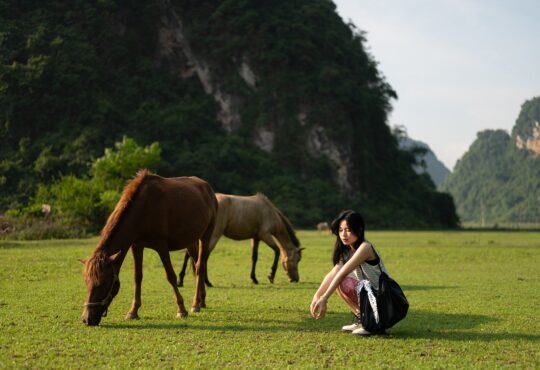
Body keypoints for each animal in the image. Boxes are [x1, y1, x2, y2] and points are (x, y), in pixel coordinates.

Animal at [80, 169, 215, 326]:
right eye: (86, 282)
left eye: (103, 283)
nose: (87, 319)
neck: (144, 208)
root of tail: (206, 186)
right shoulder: (137, 246)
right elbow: (137, 277)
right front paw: (133, 311)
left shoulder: (162, 246)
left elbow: (170, 276)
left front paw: (181, 309)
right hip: (190, 241)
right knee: (197, 265)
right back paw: (200, 301)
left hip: (205, 237)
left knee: (200, 266)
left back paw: (195, 304)